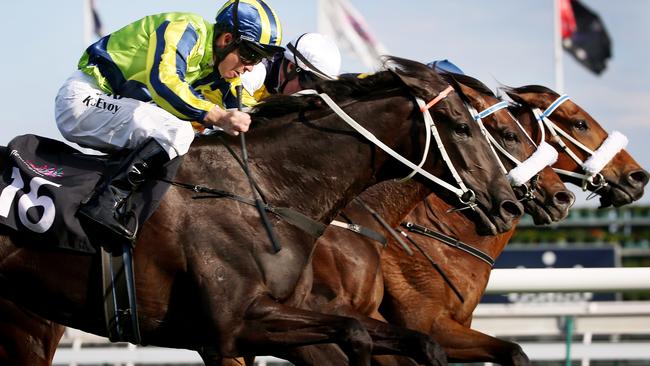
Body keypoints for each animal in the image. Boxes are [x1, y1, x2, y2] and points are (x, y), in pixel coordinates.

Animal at [0, 58, 520, 366]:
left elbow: (412, 341)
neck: (268, 192)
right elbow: (356, 335)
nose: (508, 202)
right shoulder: (232, 330)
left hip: (29, 319)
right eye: (462, 126)